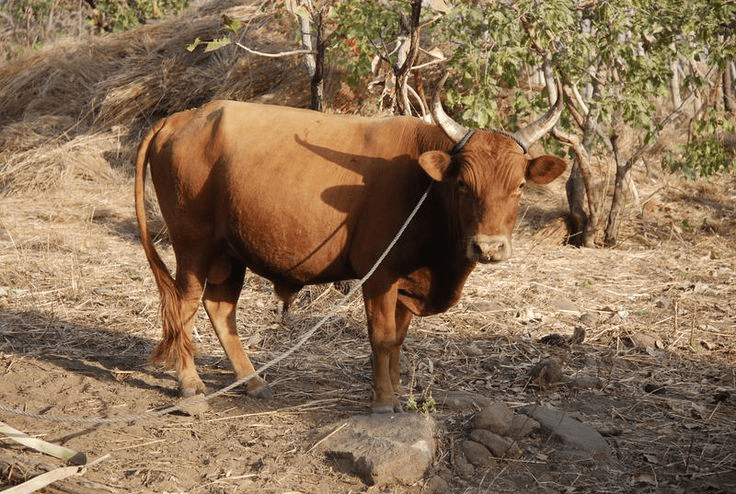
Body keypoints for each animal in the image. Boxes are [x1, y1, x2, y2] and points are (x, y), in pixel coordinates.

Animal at [135, 88, 568, 412]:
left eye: (519, 186)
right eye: (463, 184)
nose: (488, 247)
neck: (425, 189)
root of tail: (183, 117)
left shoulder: (405, 282)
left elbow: (398, 340)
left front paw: (394, 393)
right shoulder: (379, 276)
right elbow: (381, 337)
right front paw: (383, 402)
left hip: (229, 253)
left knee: (220, 309)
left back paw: (253, 381)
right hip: (193, 245)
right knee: (184, 305)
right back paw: (190, 384)